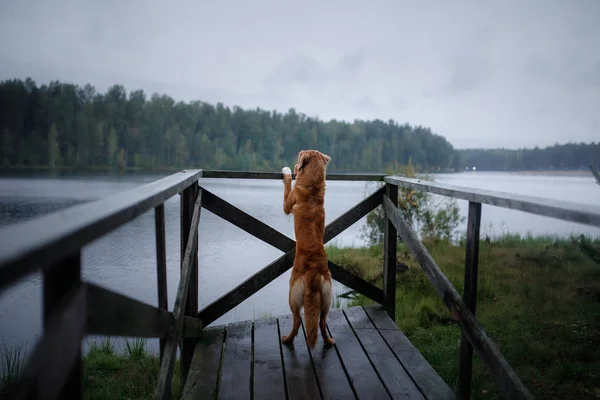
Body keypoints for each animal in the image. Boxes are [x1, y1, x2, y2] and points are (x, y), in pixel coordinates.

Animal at [280, 148, 336, 348]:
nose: (295, 162)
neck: (312, 189)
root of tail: (313, 273)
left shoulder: (288, 202)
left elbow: (288, 184)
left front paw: (288, 171)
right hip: (327, 298)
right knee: (322, 322)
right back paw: (328, 341)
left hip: (292, 294)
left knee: (297, 320)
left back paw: (287, 340)